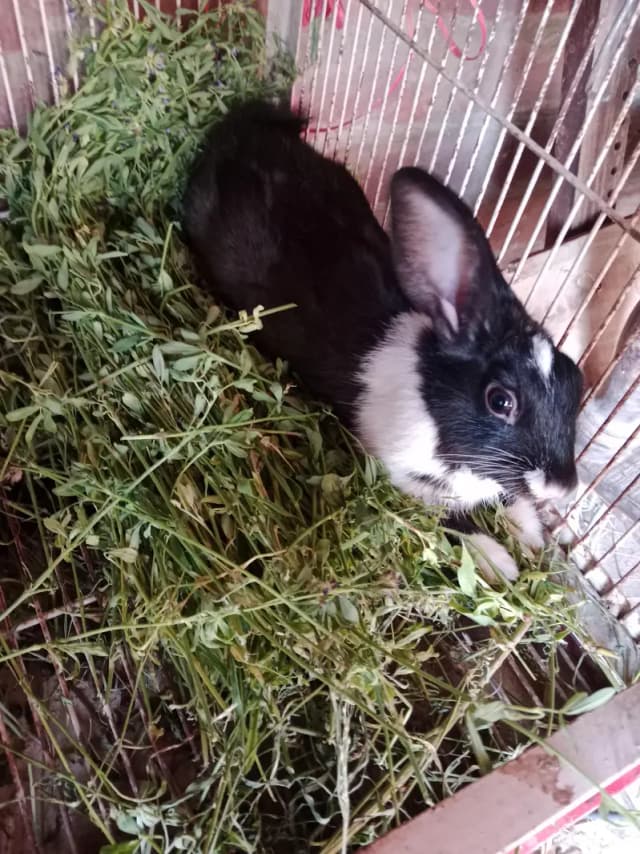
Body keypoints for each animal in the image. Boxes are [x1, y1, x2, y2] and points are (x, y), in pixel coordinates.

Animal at [182, 99, 583, 583]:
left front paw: (531, 533)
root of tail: (241, 132)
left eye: (575, 381)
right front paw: (500, 561)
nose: (563, 486)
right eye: (500, 400)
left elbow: (509, 497)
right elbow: (452, 521)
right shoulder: (401, 474)